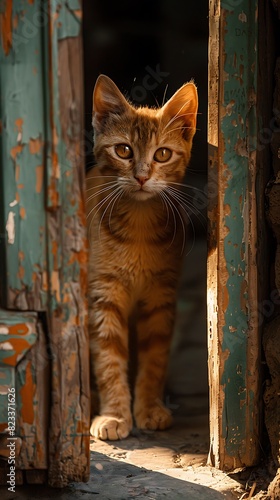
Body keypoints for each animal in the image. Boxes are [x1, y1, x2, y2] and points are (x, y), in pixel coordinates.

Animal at [86, 74, 198, 442]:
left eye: (162, 154)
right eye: (123, 150)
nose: (142, 176)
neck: (138, 226)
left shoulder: (161, 297)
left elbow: (155, 358)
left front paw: (149, 407)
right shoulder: (103, 296)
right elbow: (108, 359)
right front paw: (114, 414)